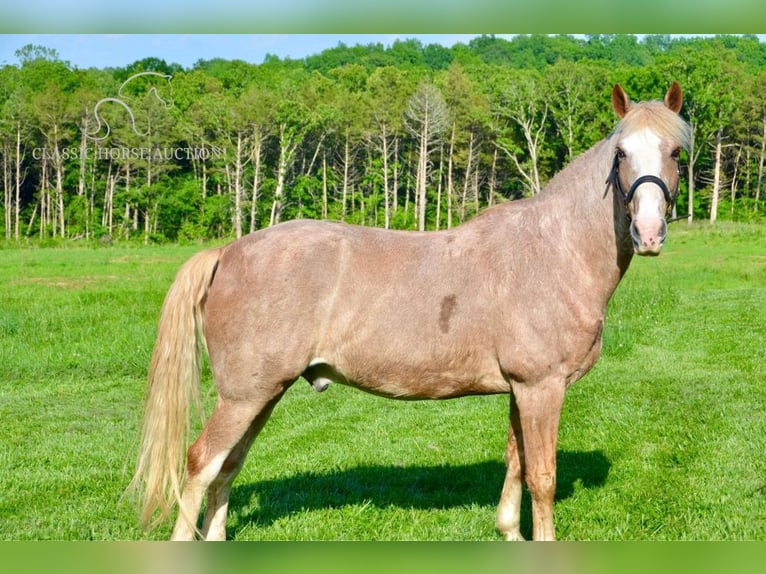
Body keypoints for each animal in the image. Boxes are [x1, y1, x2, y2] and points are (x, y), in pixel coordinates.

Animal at [132, 83, 696, 544]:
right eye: (621, 152)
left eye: (676, 152)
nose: (648, 233)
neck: (553, 250)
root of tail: (227, 252)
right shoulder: (542, 388)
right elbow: (542, 476)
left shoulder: (521, 390)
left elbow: (515, 463)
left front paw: (508, 531)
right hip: (244, 396)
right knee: (202, 465)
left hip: (261, 394)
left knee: (227, 468)